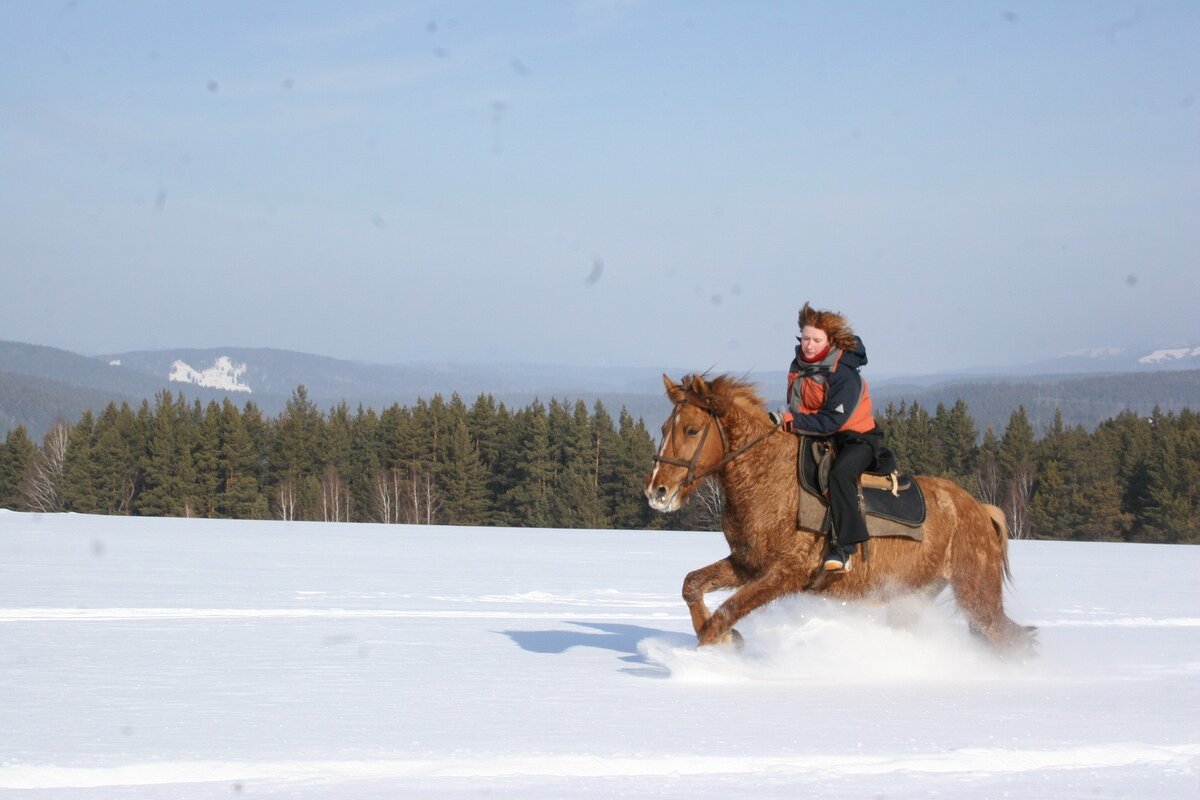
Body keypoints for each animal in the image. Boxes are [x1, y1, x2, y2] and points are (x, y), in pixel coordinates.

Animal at [648, 376, 1032, 657]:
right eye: (665, 427)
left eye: (692, 430)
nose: (657, 491)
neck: (768, 477)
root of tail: (980, 511)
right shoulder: (748, 563)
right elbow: (692, 585)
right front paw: (730, 640)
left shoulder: (785, 573)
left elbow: (723, 616)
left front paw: (715, 649)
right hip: (914, 596)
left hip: (975, 594)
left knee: (1007, 637)